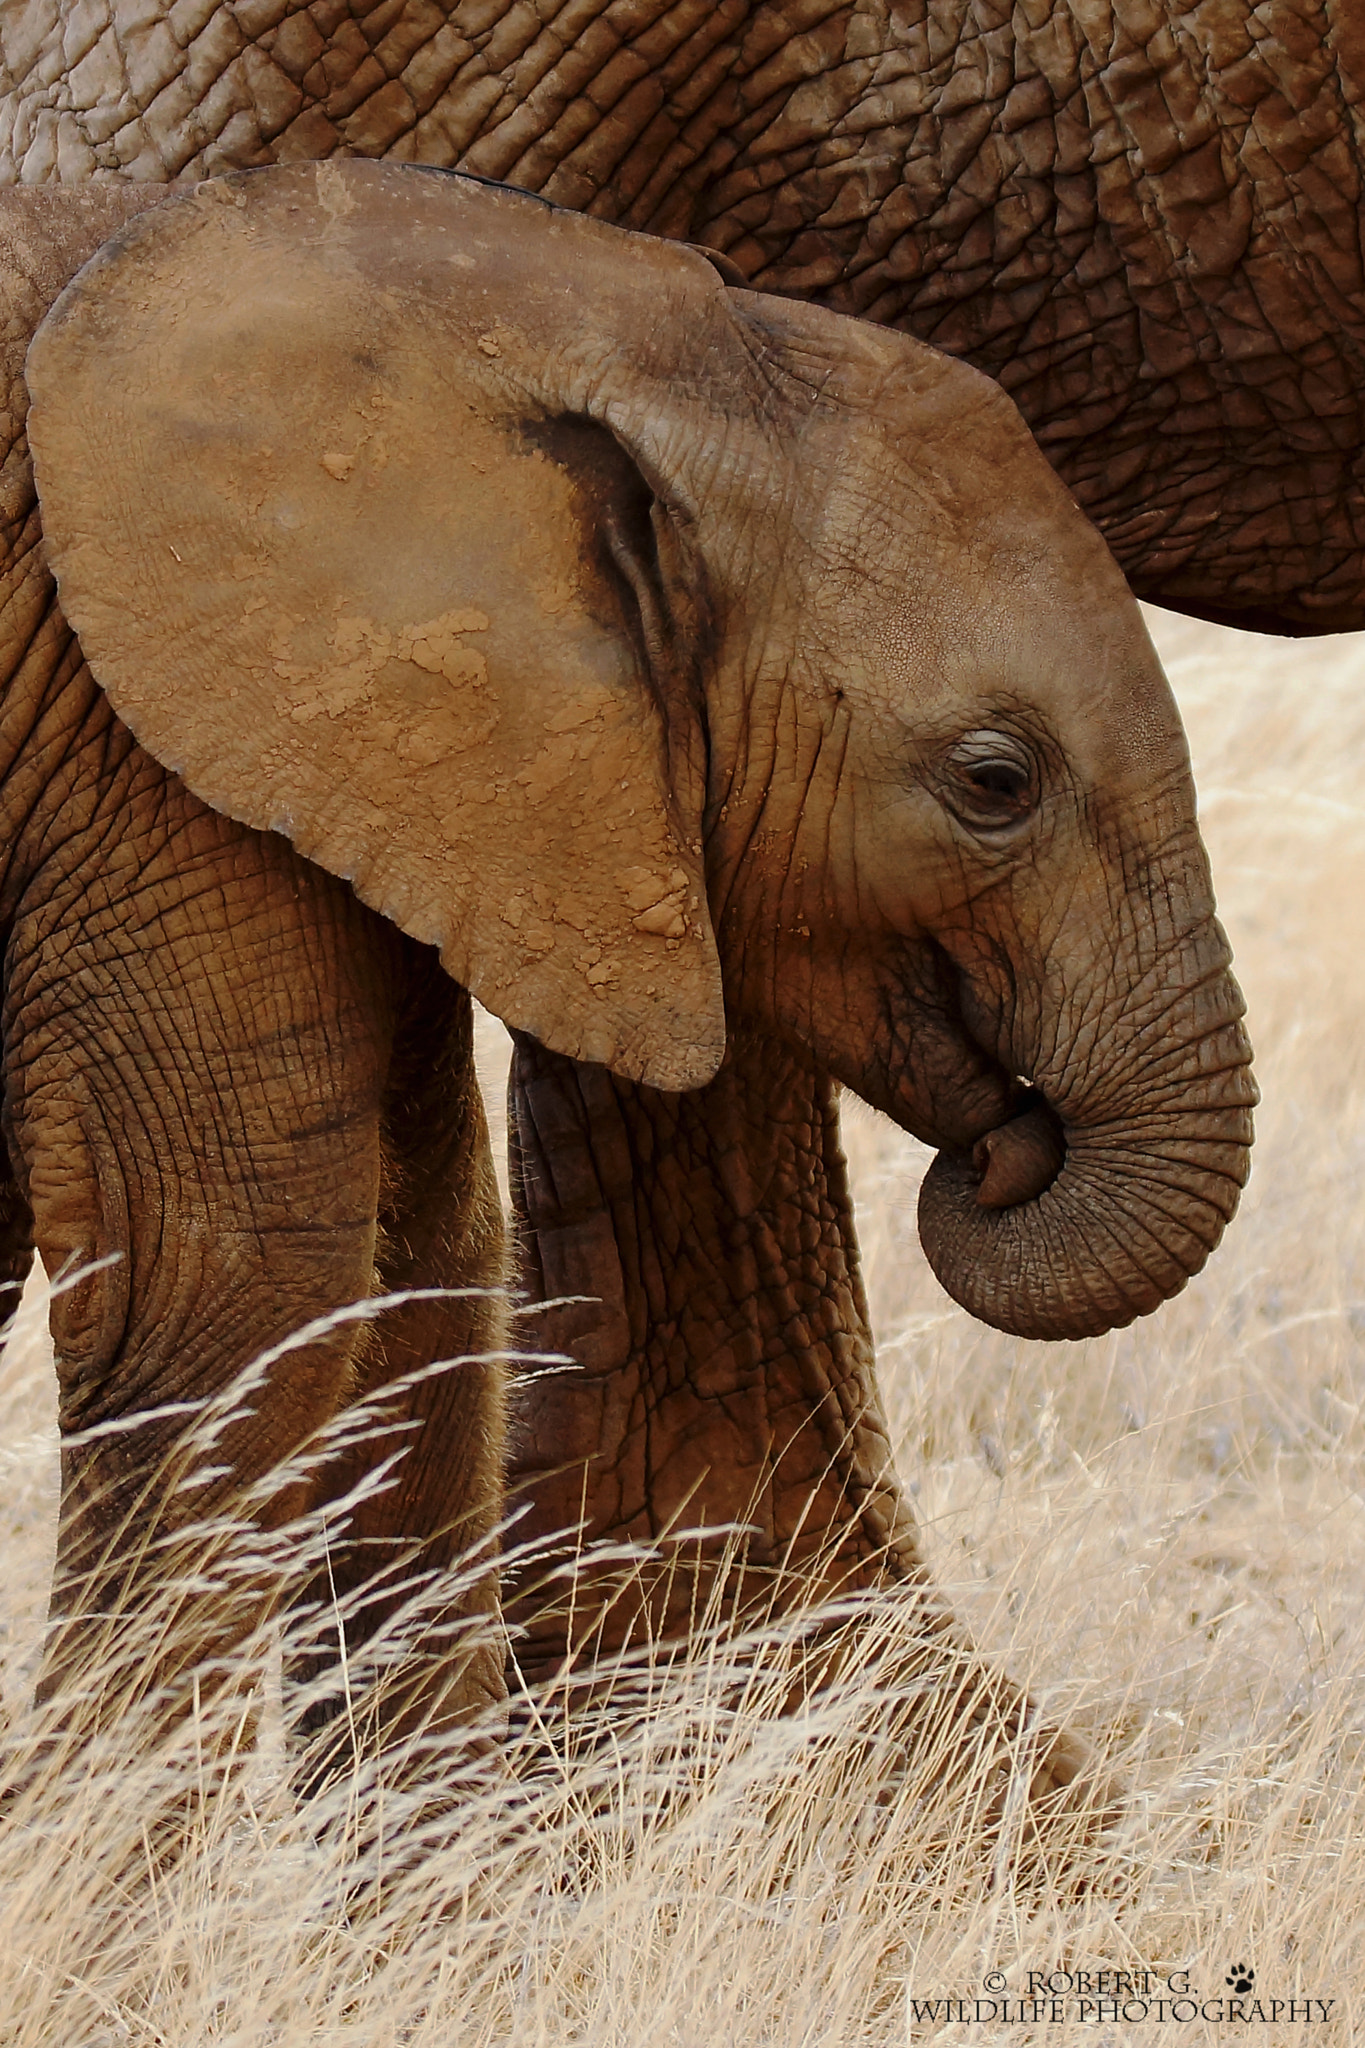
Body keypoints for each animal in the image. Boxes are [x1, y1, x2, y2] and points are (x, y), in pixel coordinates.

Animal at [2, 155, 1260, 1826]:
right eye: (996, 782)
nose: (1006, 1150)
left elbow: (424, 1264)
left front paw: (435, 1892)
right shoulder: (139, 756)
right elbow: (230, 1289)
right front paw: (99, 1896)